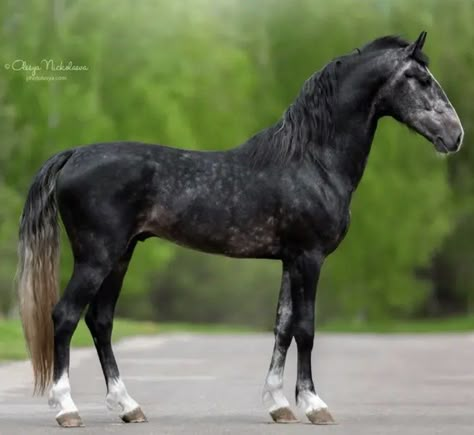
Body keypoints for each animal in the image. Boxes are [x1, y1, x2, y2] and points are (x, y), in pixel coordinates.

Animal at [15, 32, 462, 428]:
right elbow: (306, 328)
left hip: (122, 255)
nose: (455, 135)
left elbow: (282, 327)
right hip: (97, 256)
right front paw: (314, 405)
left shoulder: (289, 259)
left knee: (101, 320)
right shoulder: (309, 257)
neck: (312, 160)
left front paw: (279, 405)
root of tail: (74, 154)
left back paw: (128, 406)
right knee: (65, 315)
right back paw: (67, 410)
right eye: (421, 79)